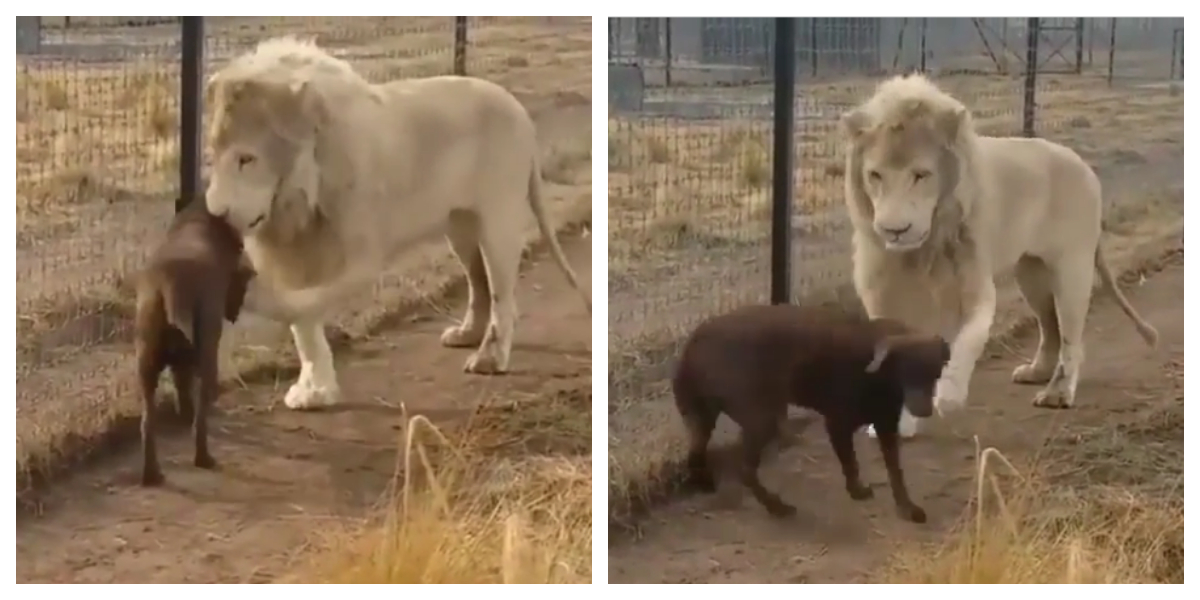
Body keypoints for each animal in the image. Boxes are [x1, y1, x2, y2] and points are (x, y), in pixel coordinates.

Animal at [203, 36, 591, 411]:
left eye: (246, 159)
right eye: (212, 156)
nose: (215, 215)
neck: (299, 199)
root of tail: (519, 110)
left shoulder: (360, 256)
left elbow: (303, 304)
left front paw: (250, 294)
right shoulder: (299, 254)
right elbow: (304, 328)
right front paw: (315, 390)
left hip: (498, 219)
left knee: (502, 293)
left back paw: (490, 358)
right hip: (460, 227)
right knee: (478, 281)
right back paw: (466, 335)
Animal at [838, 73, 1158, 439]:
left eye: (921, 175)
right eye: (874, 175)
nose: (894, 230)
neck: (921, 249)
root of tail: (1083, 165)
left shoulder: (974, 288)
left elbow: (966, 342)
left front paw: (949, 396)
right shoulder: (885, 294)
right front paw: (896, 423)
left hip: (1071, 269)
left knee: (1071, 337)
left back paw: (1058, 393)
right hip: (1031, 274)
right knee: (1049, 325)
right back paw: (1036, 372)